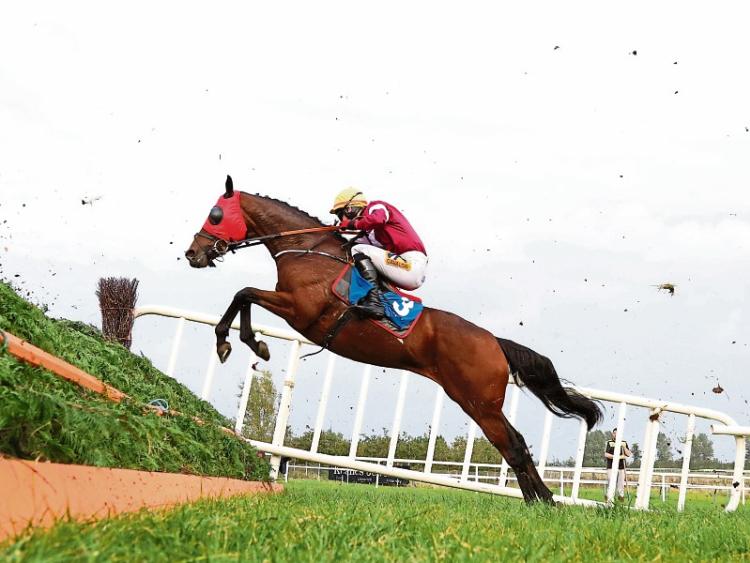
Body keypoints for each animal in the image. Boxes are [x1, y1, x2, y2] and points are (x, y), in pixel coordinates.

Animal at [185, 176, 602, 503]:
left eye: (215, 214)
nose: (193, 253)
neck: (307, 252)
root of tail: (494, 342)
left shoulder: (300, 309)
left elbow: (244, 293)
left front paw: (238, 341)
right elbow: (244, 296)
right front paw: (247, 342)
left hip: (478, 401)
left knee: (512, 444)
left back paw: (543, 501)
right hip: (479, 401)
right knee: (515, 442)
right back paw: (540, 499)